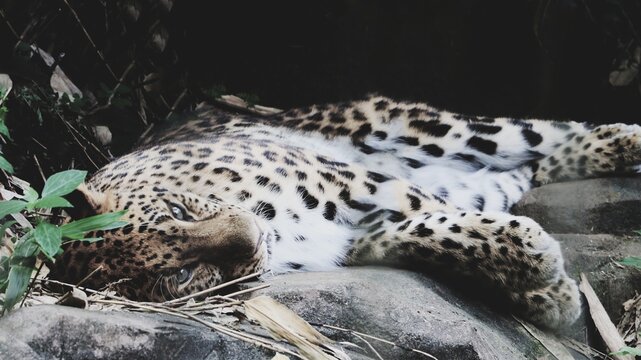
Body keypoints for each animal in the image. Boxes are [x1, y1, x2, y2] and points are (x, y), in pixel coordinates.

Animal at [47, 95, 640, 330]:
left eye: (177, 207)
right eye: (185, 275)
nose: (250, 231)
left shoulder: (352, 179)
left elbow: (424, 210)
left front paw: (547, 285)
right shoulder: (356, 239)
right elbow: (430, 233)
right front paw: (547, 291)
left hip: (413, 127)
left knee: (535, 133)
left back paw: (624, 139)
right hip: (470, 175)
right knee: (523, 173)